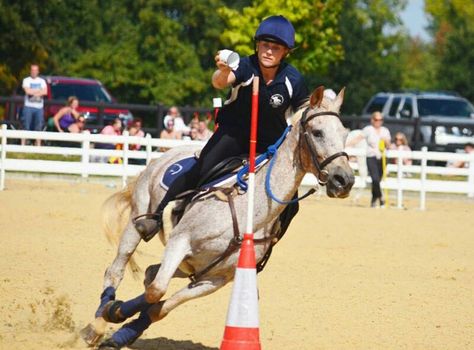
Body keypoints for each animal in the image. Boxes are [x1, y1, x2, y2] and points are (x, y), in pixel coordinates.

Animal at [82, 87, 356, 348]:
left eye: (344, 134)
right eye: (318, 132)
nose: (345, 180)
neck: (249, 213)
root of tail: (165, 155)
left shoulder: (216, 279)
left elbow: (160, 306)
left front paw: (124, 330)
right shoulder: (179, 241)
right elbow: (155, 291)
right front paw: (114, 312)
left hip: (190, 266)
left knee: (151, 274)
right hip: (137, 222)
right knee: (116, 270)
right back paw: (97, 322)